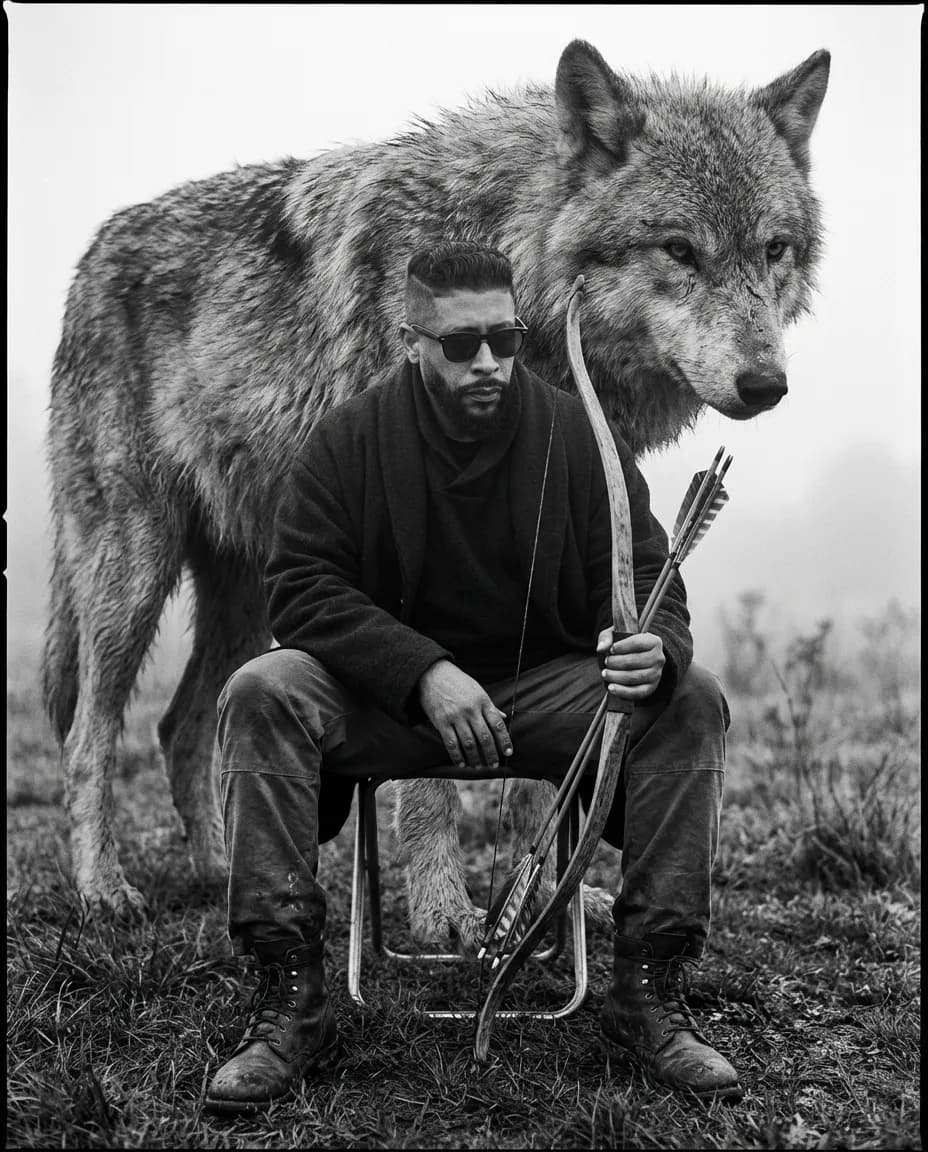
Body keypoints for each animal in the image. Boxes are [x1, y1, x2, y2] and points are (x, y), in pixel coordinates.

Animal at [43, 40, 829, 937]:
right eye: (679, 250)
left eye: (773, 249)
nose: (767, 384)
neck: (515, 277)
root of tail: (95, 250)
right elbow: (429, 775)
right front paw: (445, 914)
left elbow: (544, 771)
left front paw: (545, 904)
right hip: (134, 572)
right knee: (90, 734)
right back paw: (104, 889)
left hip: (248, 591)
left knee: (180, 725)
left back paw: (223, 874)